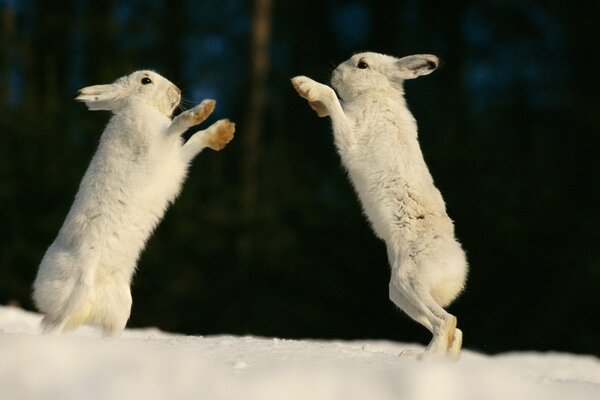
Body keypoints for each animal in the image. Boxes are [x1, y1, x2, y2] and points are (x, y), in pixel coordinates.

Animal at [32, 69, 234, 334]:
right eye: (146, 80)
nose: (177, 91)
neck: (138, 105)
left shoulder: (176, 159)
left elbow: (194, 141)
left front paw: (223, 132)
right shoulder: (156, 147)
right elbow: (177, 125)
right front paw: (203, 110)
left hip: (120, 308)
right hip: (75, 292)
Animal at [290, 52, 468, 360]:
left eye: (362, 65)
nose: (335, 73)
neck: (377, 95)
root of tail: (458, 267)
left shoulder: (351, 136)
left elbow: (334, 102)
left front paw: (307, 86)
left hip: (409, 281)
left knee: (446, 322)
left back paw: (424, 359)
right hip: (400, 294)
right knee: (452, 329)